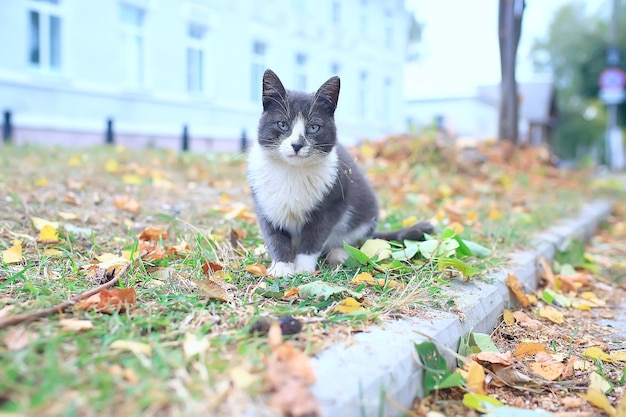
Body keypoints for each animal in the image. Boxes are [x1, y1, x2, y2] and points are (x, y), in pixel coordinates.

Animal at [246, 69, 432, 276]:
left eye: (314, 127)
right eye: (283, 125)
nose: (297, 145)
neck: (292, 171)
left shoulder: (333, 200)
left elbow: (315, 235)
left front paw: (303, 268)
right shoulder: (264, 202)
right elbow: (274, 234)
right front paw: (281, 267)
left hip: (366, 214)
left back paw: (339, 254)